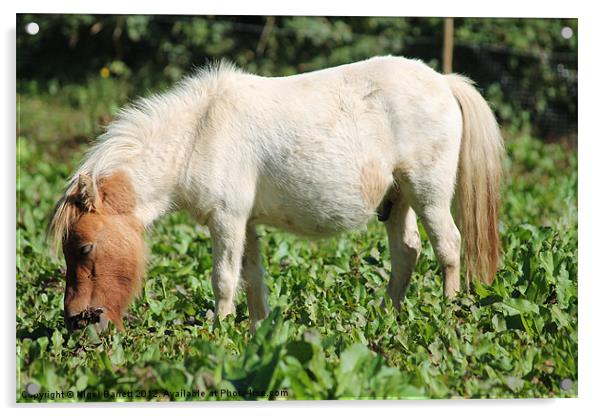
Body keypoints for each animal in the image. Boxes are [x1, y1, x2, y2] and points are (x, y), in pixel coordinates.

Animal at [48, 57, 502, 334]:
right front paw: (257, 332)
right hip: (398, 200)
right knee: (407, 252)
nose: (76, 322)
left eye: (85, 247)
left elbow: (224, 279)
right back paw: (387, 316)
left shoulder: (227, 220)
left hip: (428, 194)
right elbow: (252, 279)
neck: (199, 132)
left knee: (449, 246)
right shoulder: (244, 224)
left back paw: (447, 311)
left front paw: (220, 333)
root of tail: (443, 82)